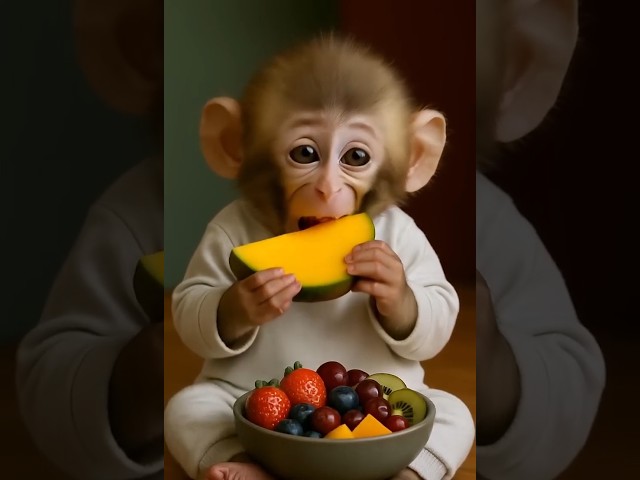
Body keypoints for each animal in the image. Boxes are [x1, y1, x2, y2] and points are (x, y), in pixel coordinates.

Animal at [165, 34, 475, 480]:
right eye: (305, 153)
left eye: (356, 157)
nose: (327, 188)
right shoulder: (217, 235)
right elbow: (194, 304)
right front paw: (250, 297)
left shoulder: (414, 239)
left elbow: (437, 308)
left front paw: (389, 279)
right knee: (193, 411)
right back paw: (238, 467)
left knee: (455, 413)